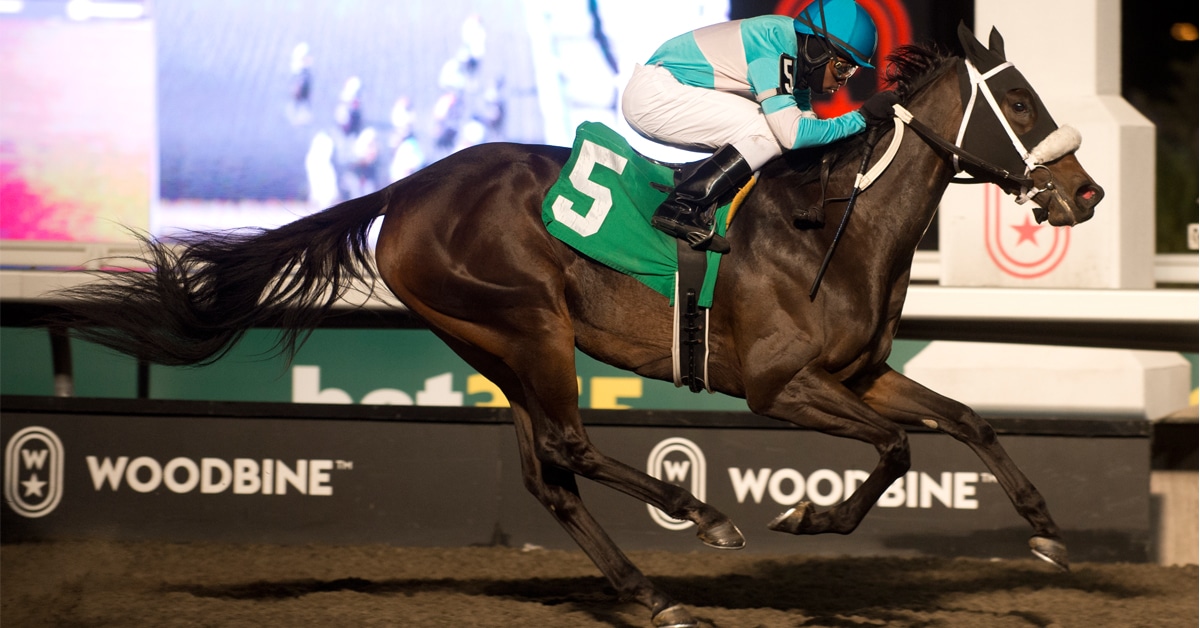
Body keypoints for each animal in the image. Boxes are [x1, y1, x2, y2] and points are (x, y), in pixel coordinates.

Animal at [53, 25, 1103, 628]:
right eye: (1018, 100)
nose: (1084, 192)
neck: (833, 221)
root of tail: (408, 188)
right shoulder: (782, 386)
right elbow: (896, 449)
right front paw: (807, 515)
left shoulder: (859, 374)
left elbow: (966, 421)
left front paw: (1050, 536)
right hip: (528, 327)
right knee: (567, 445)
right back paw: (701, 518)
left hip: (494, 344)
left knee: (548, 472)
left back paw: (651, 592)